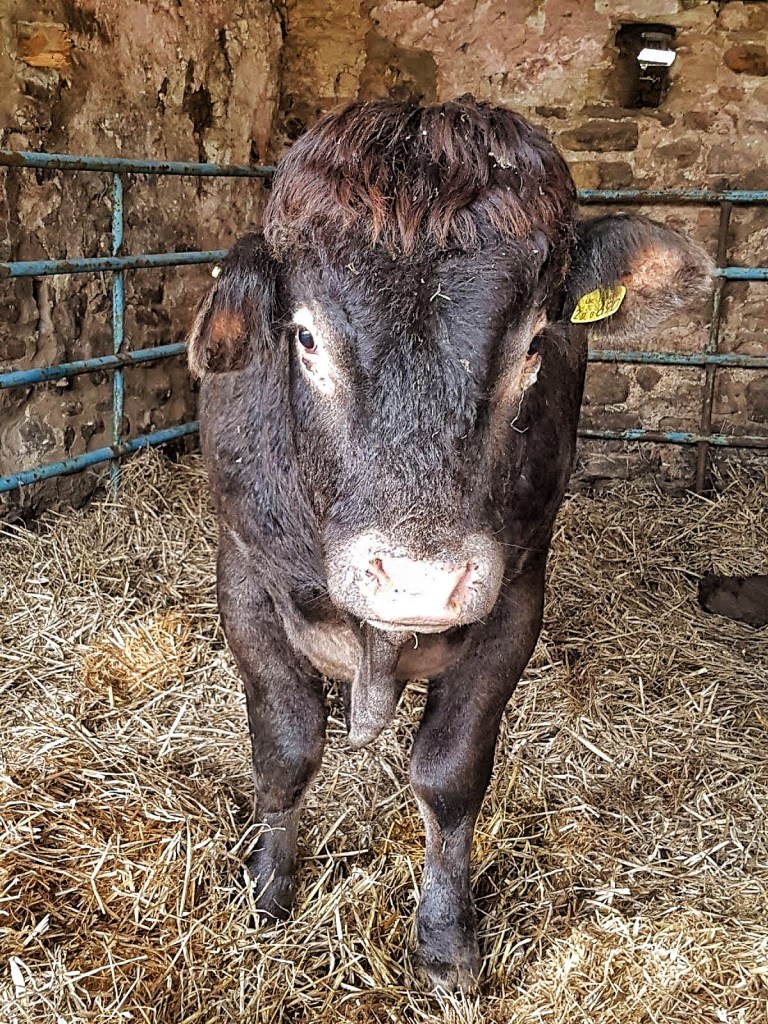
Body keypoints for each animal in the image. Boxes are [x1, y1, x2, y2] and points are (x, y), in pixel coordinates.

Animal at [187, 97, 712, 992]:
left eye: (534, 345)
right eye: (305, 339)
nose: (418, 584)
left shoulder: (517, 598)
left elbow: (450, 773)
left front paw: (443, 940)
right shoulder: (245, 581)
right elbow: (286, 749)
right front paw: (267, 888)